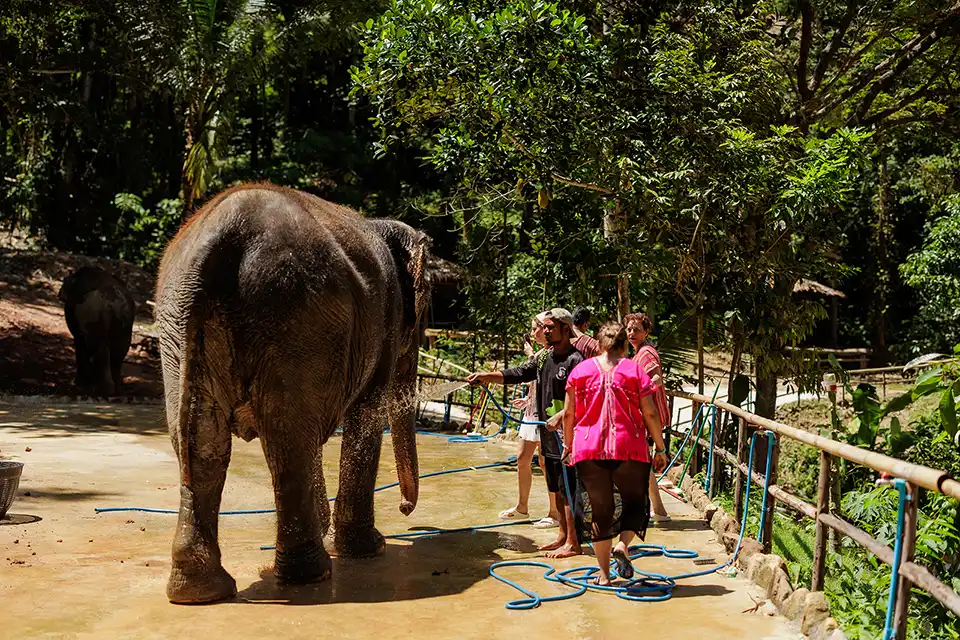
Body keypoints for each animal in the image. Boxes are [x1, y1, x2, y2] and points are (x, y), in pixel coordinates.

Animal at [58, 266, 135, 396]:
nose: (59, 294)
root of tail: (112, 301)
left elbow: (80, 345)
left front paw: (79, 382)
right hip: (126, 322)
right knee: (119, 352)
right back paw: (116, 390)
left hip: (93, 315)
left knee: (99, 349)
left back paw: (104, 390)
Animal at [153, 182, 433, 604]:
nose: (405, 510)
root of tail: (224, 232)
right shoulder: (385, 318)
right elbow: (366, 413)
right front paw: (370, 549)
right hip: (294, 315)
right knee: (287, 439)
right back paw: (310, 575)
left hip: (180, 323)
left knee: (204, 442)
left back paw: (200, 592)